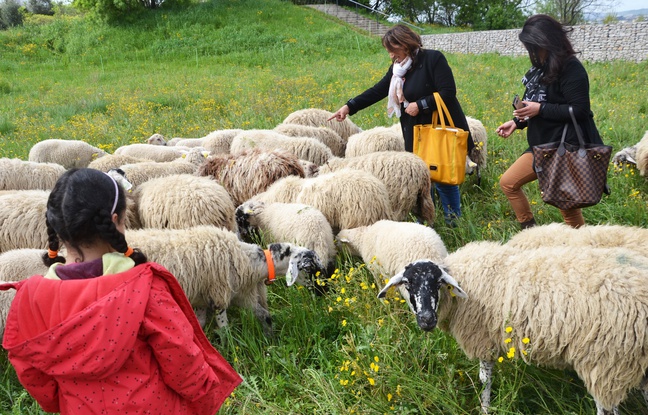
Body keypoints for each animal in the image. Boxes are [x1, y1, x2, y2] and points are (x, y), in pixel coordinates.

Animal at [125, 225, 325, 336]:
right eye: (310, 268)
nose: (323, 293)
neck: (248, 260)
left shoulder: (222, 296)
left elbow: (264, 316)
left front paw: (271, 339)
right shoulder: (218, 295)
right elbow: (224, 328)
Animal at [377, 241, 648, 415]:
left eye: (437, 281)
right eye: (408, 283)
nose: (426, 320)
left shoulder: (482, 338)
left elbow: (484, 380)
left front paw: (485, 408)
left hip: (607, 362)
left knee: (607, 407)